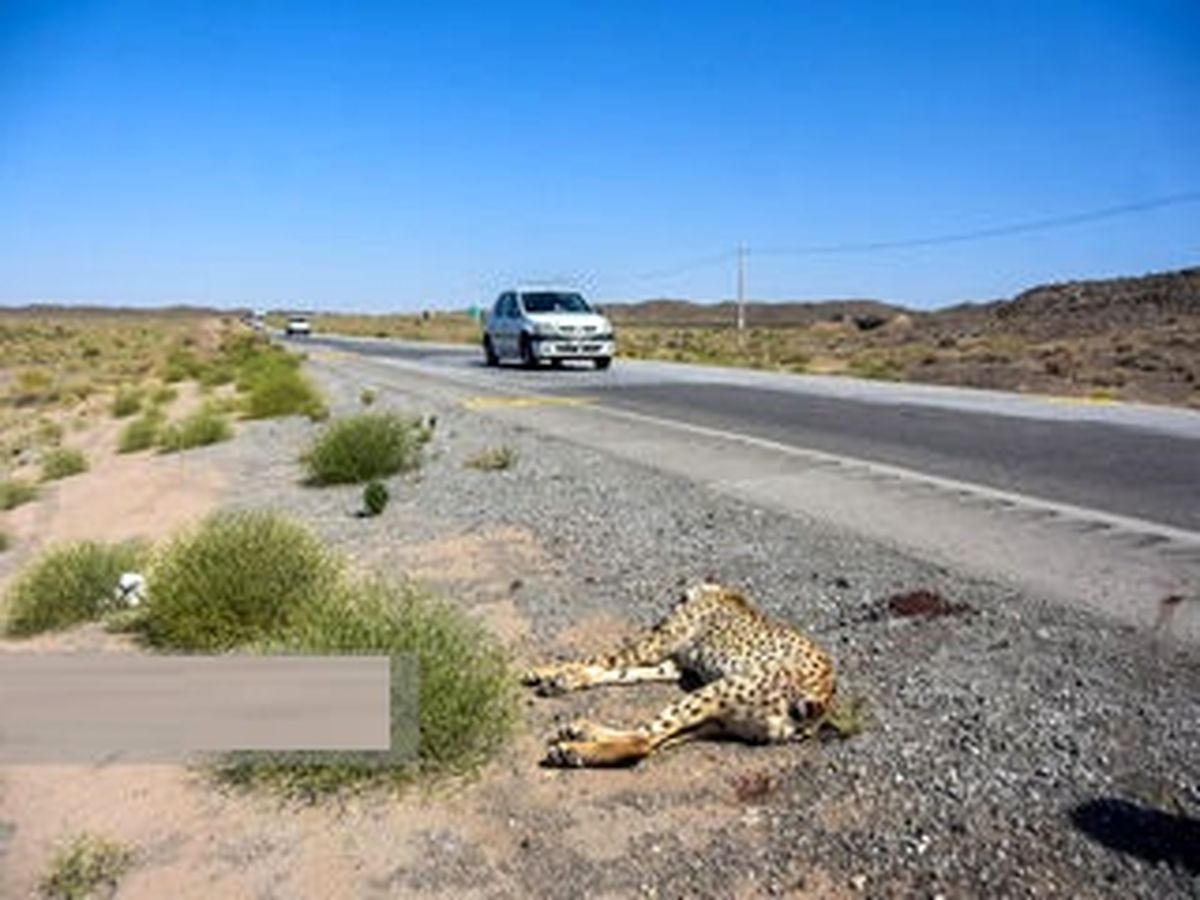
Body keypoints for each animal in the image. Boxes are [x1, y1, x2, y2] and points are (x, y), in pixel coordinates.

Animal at [525, 585, 835, 768]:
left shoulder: (655, 645)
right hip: (720, 721)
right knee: (655, 741)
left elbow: (603, 659)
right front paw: (565, 678)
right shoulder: (674, 665)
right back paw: (583, 731)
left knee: (644, 741)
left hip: (716, 691)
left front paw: (546, 671)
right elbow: (621, 671)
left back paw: (573, 748)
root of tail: (822, 702)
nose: (659, 618)